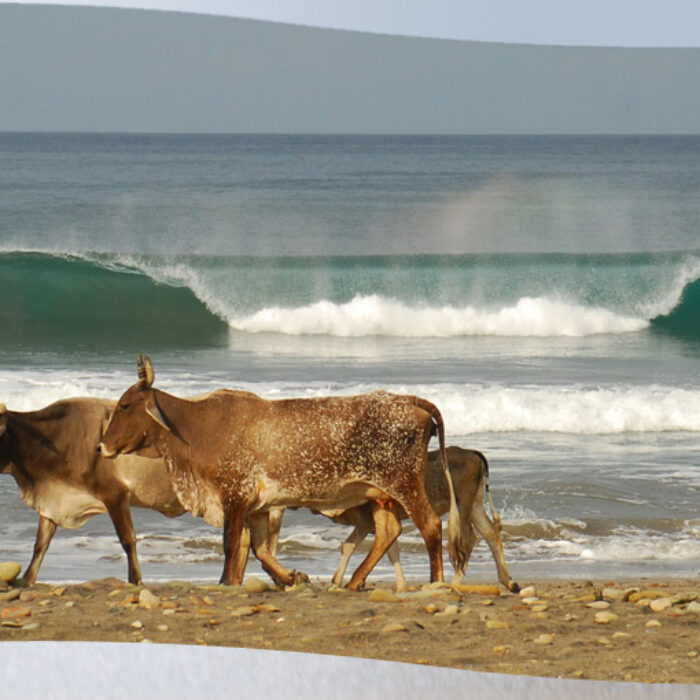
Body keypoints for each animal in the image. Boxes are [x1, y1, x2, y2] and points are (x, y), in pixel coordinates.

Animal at [0, 398, 184, 584]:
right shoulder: (54, 500)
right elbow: (41, 543)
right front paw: (27, 579)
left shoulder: (115, 495)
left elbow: (128, 539)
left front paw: (135, 580)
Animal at [98, 355, 466, 590]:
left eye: (125, 405)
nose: (101, 447)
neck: (196, 427)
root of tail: (410, 400)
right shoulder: (257, 506)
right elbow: (259, 549)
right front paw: (291, 578)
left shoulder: (234, 496)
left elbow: (232, 543)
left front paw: (225, 581)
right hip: (379, 494)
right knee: (388, 531)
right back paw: (353, 582)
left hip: (404, 483)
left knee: (430, 526)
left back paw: (435, 581)